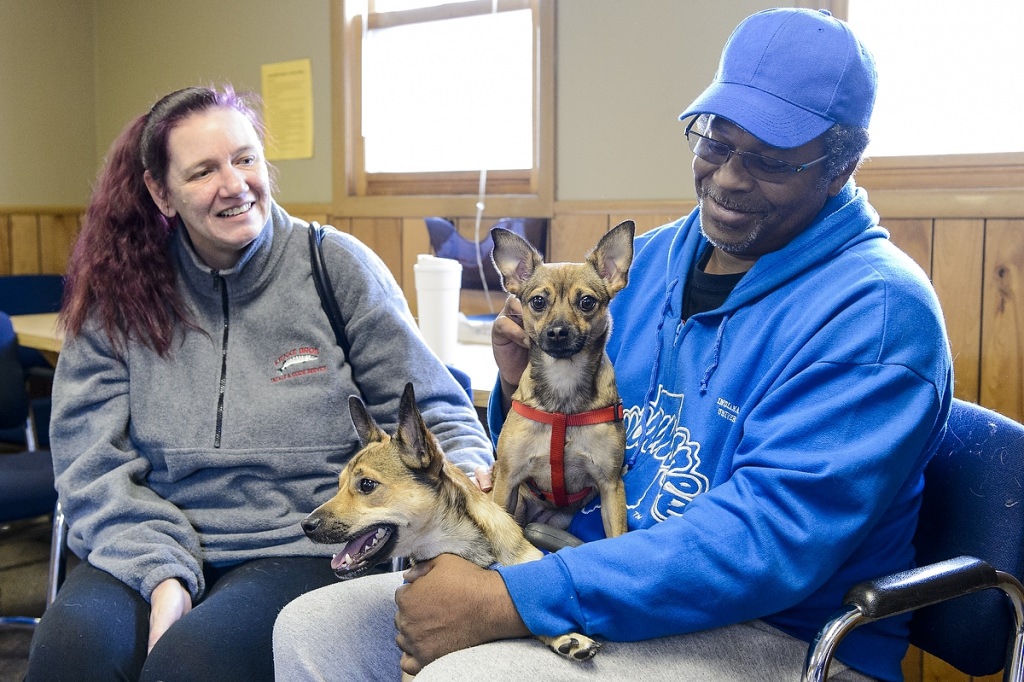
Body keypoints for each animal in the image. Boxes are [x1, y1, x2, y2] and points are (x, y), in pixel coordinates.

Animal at [487, 220, 630, 540]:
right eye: (538, 301)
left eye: (587, 302)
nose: (557, 332)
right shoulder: (507, 482)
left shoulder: (610, 486)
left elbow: (617, 533)